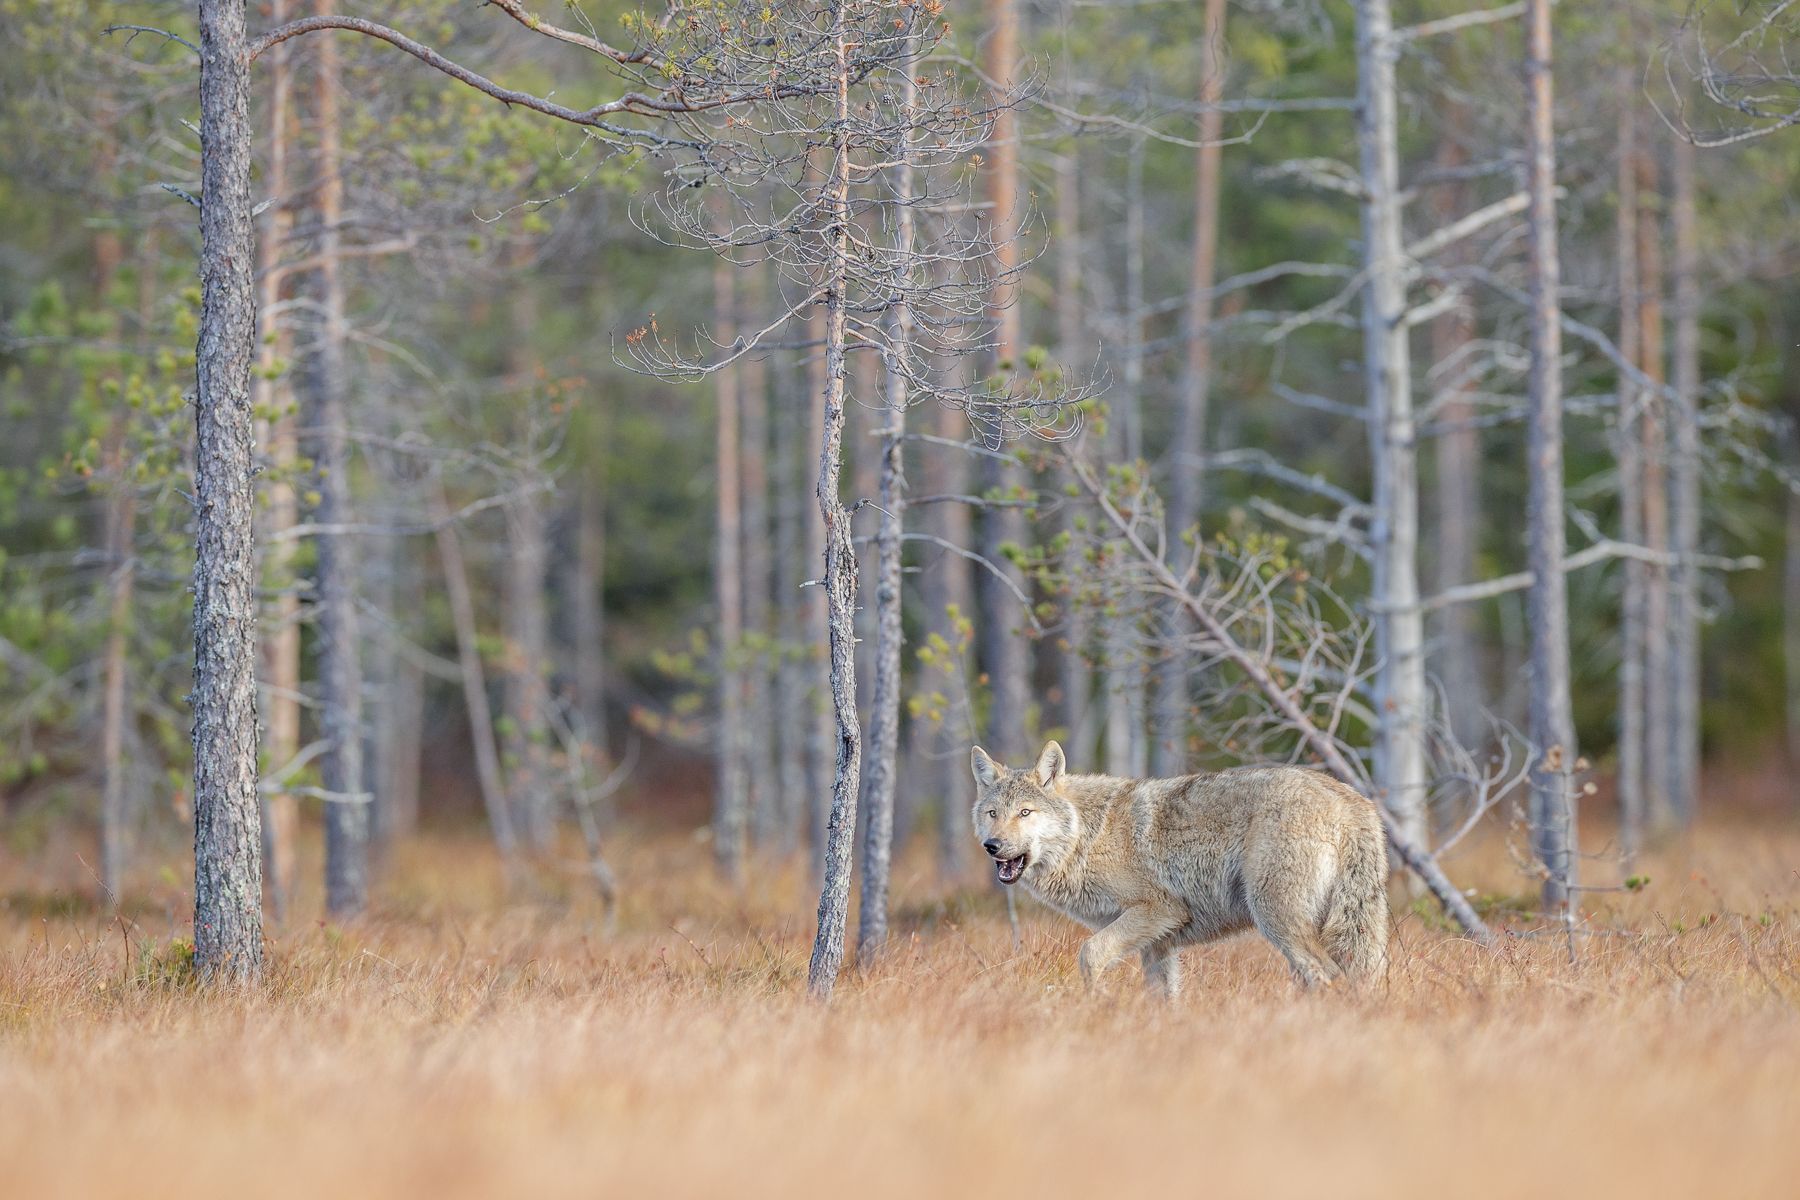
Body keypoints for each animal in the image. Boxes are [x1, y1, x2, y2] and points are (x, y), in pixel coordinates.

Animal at [971, 741, 1389, 995]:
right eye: (993, 814)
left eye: (1025, 813)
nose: (992, 847)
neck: (1088, 836)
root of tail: (1353, 801)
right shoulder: (1160, 943)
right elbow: (1163, 1000)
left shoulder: (1160, 910)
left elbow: (1090, 954)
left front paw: (1096, 1007)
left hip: (1276, 919)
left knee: (1329, 977)